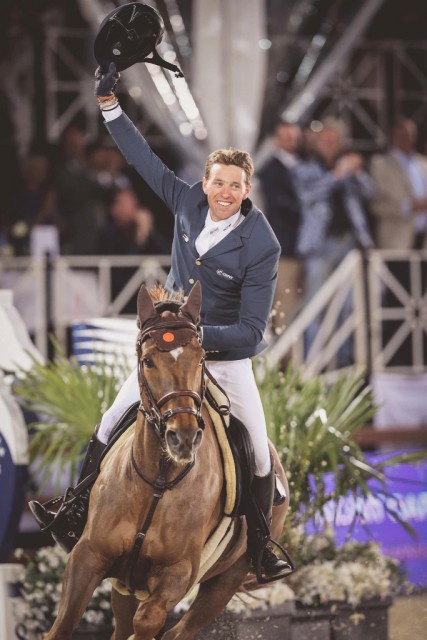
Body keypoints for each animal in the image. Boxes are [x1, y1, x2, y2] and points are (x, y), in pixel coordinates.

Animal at [43, 284, 290, 640]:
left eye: (201, 358)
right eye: (147, 360)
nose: (182, 438)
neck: (159, 479)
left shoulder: (177, 574)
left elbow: (147, 621)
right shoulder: (88, 556)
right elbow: (63, 625)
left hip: (223, 583)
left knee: (179, 630)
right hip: (125, 585)